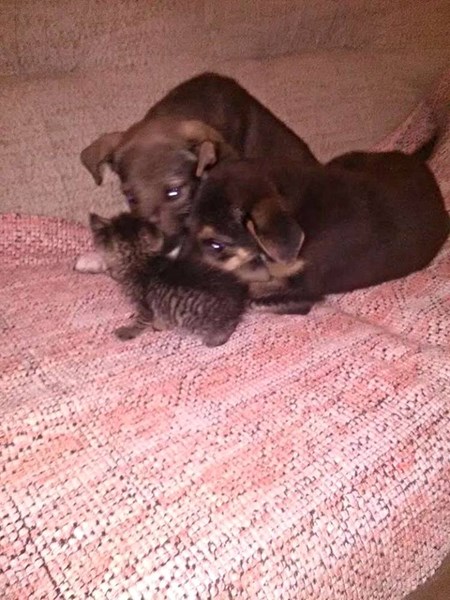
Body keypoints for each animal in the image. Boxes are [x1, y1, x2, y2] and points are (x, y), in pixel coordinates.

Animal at [89, 212, 248, 347]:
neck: (140, 261)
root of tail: (239, 304)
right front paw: (161, 324)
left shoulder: (144, 306)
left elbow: (141, 321)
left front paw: (129, 331)